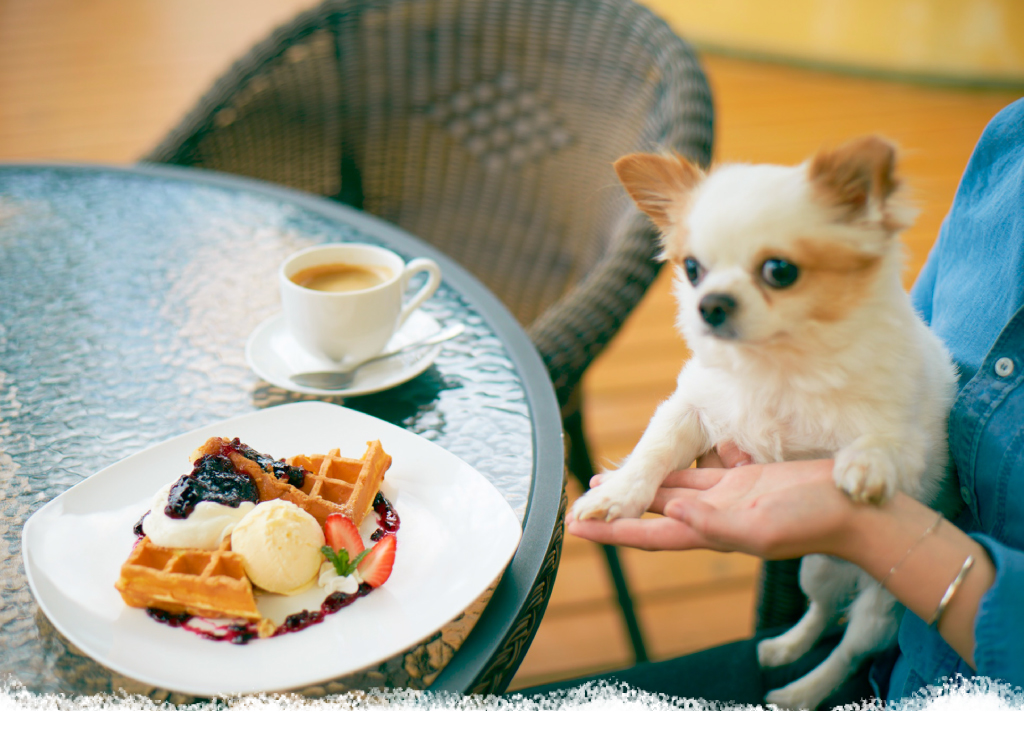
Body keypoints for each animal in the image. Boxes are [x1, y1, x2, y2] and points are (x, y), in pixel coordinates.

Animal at [573, 134, 962, 708]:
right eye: (693, 269)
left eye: (780, 271)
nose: (710, 304)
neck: (773, 364)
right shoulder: (692, 405)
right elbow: (656, 448)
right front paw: (620, 494)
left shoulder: (906, 439)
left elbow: (881, 443)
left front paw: (866, 467)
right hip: (817, 567)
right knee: (821, 611)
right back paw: (784, 647)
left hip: (883, 605)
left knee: (850, 646)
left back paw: (799, 693)